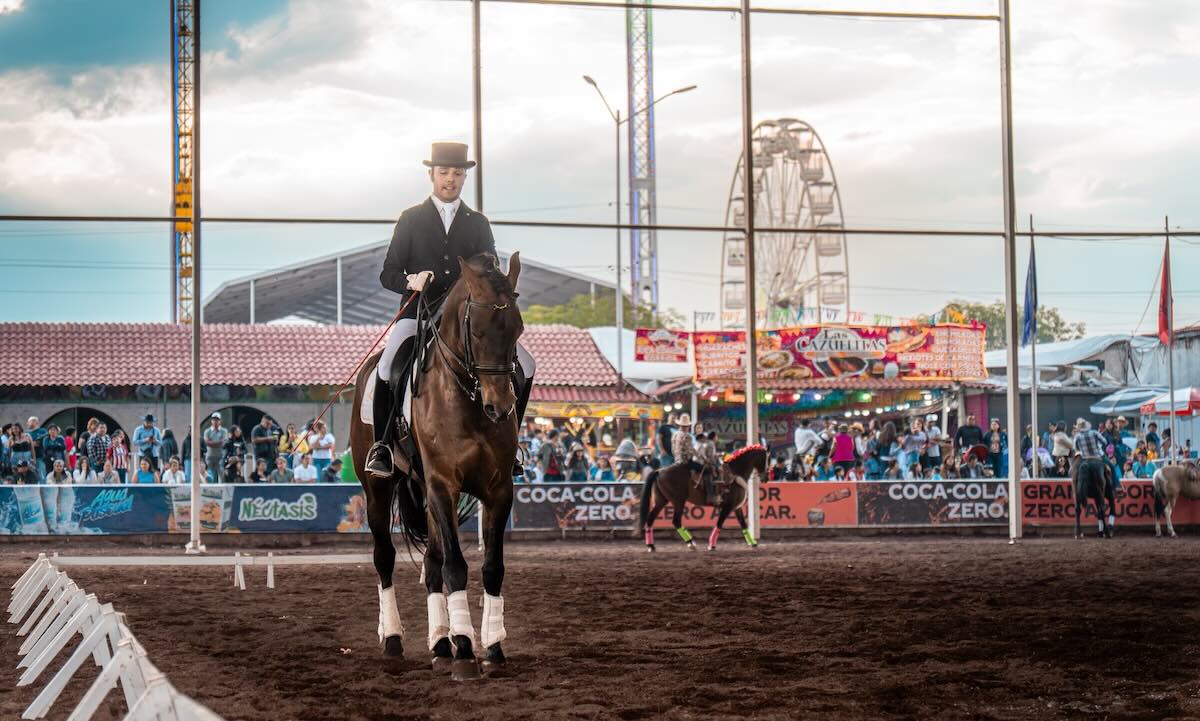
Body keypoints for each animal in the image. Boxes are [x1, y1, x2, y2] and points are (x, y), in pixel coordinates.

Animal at [350, 252, 523, 681]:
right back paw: (394, 639)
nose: (500, 408)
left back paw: (441, 645)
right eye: (476, 331)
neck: (467, 398)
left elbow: (491, 567)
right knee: (385, 558)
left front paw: (491, 647)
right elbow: (456, 567)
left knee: (431, 563)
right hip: (378, 490)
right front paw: (466, 652)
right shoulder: (444, 484)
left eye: (518, 328)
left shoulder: (498, 490)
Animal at [638, 444, 768, 551]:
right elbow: (719, 524)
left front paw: (753, 543)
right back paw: (691, 543)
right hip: (678, 501)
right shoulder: (728, 507)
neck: (735, 474)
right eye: (766, 458)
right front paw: (711, 545)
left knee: (650, 519)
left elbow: (743, 524)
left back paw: (651, 546)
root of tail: (659, 471)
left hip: (661, 501)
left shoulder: (736, 508)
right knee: (676, 521)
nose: (765, 476)